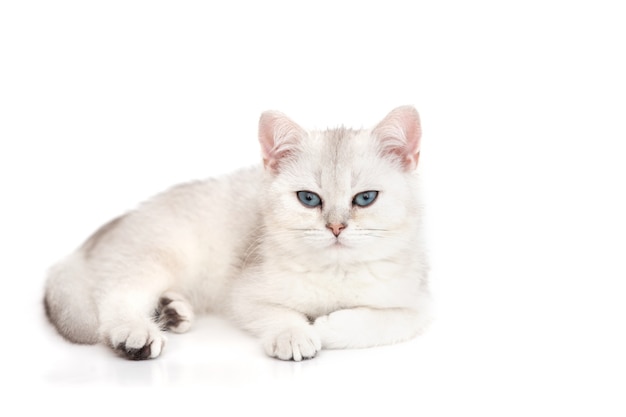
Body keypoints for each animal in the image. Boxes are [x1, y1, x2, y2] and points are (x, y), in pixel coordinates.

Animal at [45, 105, 428, 360]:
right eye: (308, 198)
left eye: (365, 198)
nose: (336, 227)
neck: (335, 272)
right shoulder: (244, 292)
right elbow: (276, 312)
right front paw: (295, 333)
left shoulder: (416, 303)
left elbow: (389, 321)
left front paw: (327, 326)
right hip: (158, 256)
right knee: (115, 297)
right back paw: (134, 334)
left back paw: (171, 311)